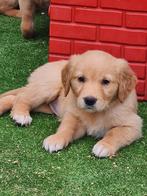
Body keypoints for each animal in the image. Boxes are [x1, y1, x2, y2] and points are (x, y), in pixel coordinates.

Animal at [0, 51, 142, 158]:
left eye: (106, 81)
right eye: (81, 79)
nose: (89, 100)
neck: (99, 111)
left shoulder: (134, 125)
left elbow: (116, 133)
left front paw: (104, 145)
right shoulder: (73, 114)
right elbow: (67, 127)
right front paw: (56, 139)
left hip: (45, 104)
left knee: (14, 97)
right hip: (47, 87)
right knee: (22, 97)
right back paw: (21, 115)